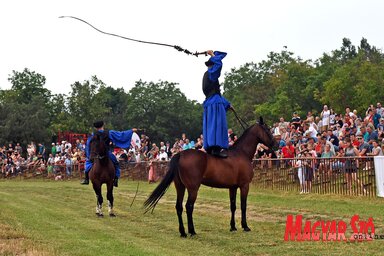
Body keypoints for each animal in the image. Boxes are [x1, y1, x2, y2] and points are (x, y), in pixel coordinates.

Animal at [145, 117, 276, 237]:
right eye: (267, 129)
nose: (275, 143)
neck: (241, 153)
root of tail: (181, 154)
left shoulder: (232, 187)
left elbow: (233, 206)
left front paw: (233, 227)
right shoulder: (244, 186)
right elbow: (243, 206)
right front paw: (245, 226)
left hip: (180, 187)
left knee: (179, 207)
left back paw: (183, 232)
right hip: (193, 188)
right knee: (189, 206)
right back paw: (192, 231)